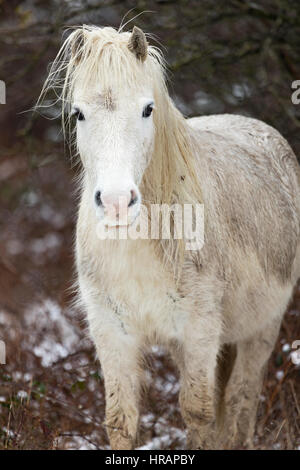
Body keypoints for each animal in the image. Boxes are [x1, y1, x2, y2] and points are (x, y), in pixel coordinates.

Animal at [41, 24, 300, 448]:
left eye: (148, 109)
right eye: (78, 114)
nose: (116, 202)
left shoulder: (199, 331)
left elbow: (199, 412)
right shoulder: (113, 333)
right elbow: (121, 419)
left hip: (261, 329)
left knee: (241, 401)